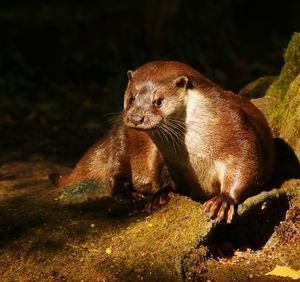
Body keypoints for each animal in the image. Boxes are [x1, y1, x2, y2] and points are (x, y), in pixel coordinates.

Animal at [123, 60, 276, 224]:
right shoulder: (175, 166)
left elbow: (247, 165)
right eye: (131, 98)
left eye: (158, 101)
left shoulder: (238, 133)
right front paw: (161, 195)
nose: (136, 118)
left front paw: (223, 200)